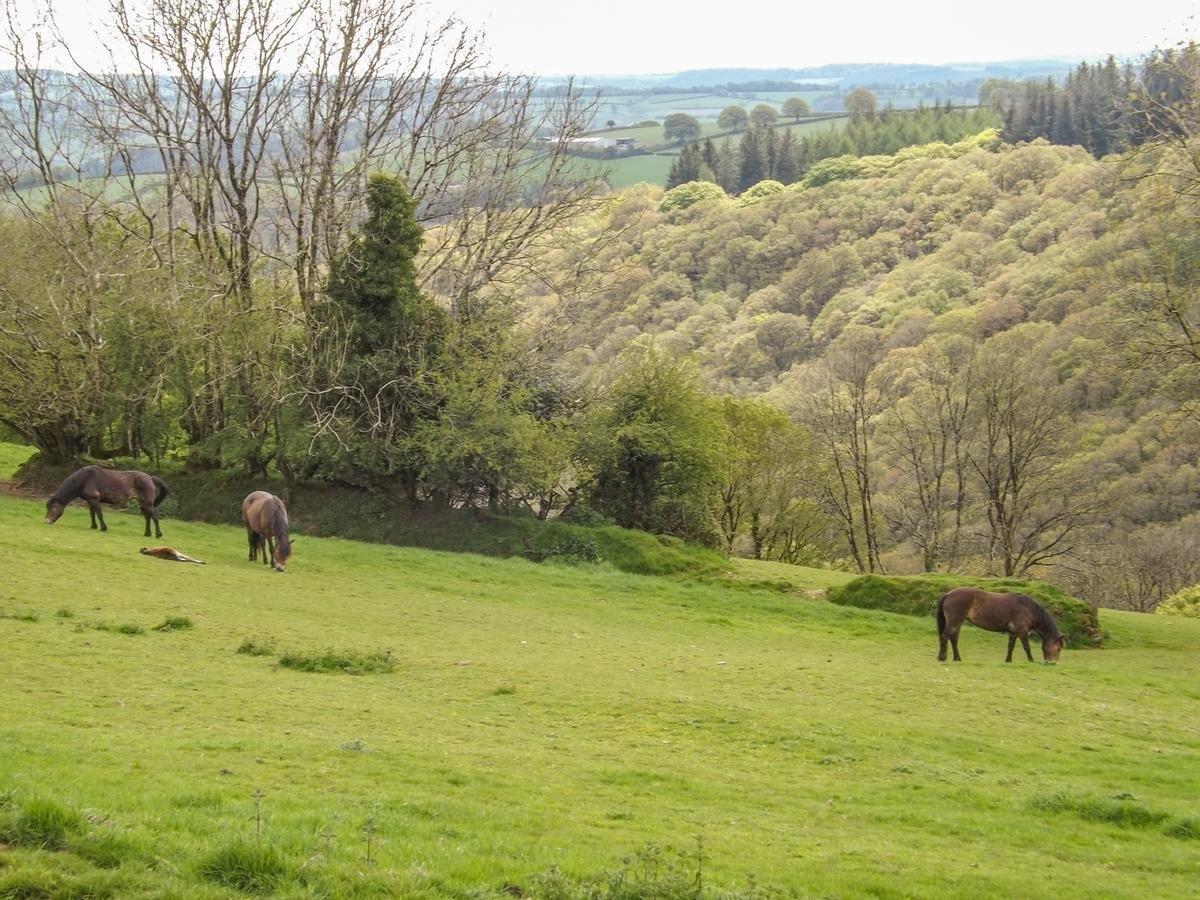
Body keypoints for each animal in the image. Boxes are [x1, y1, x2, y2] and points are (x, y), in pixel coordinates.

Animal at [936, 588, 1070, 667]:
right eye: (1058, 649)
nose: (1053, 663)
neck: (1027, 608)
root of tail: (949, 594)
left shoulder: (1013, 633)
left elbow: (1010, 647)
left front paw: (1008, 661)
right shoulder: (1022, 632)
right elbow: (1027, 647)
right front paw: (1031, 661)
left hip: (957, 623)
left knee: (953, 640)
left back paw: (957, 659)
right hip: (954, 622)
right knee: (944, 637)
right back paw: (941, 658)